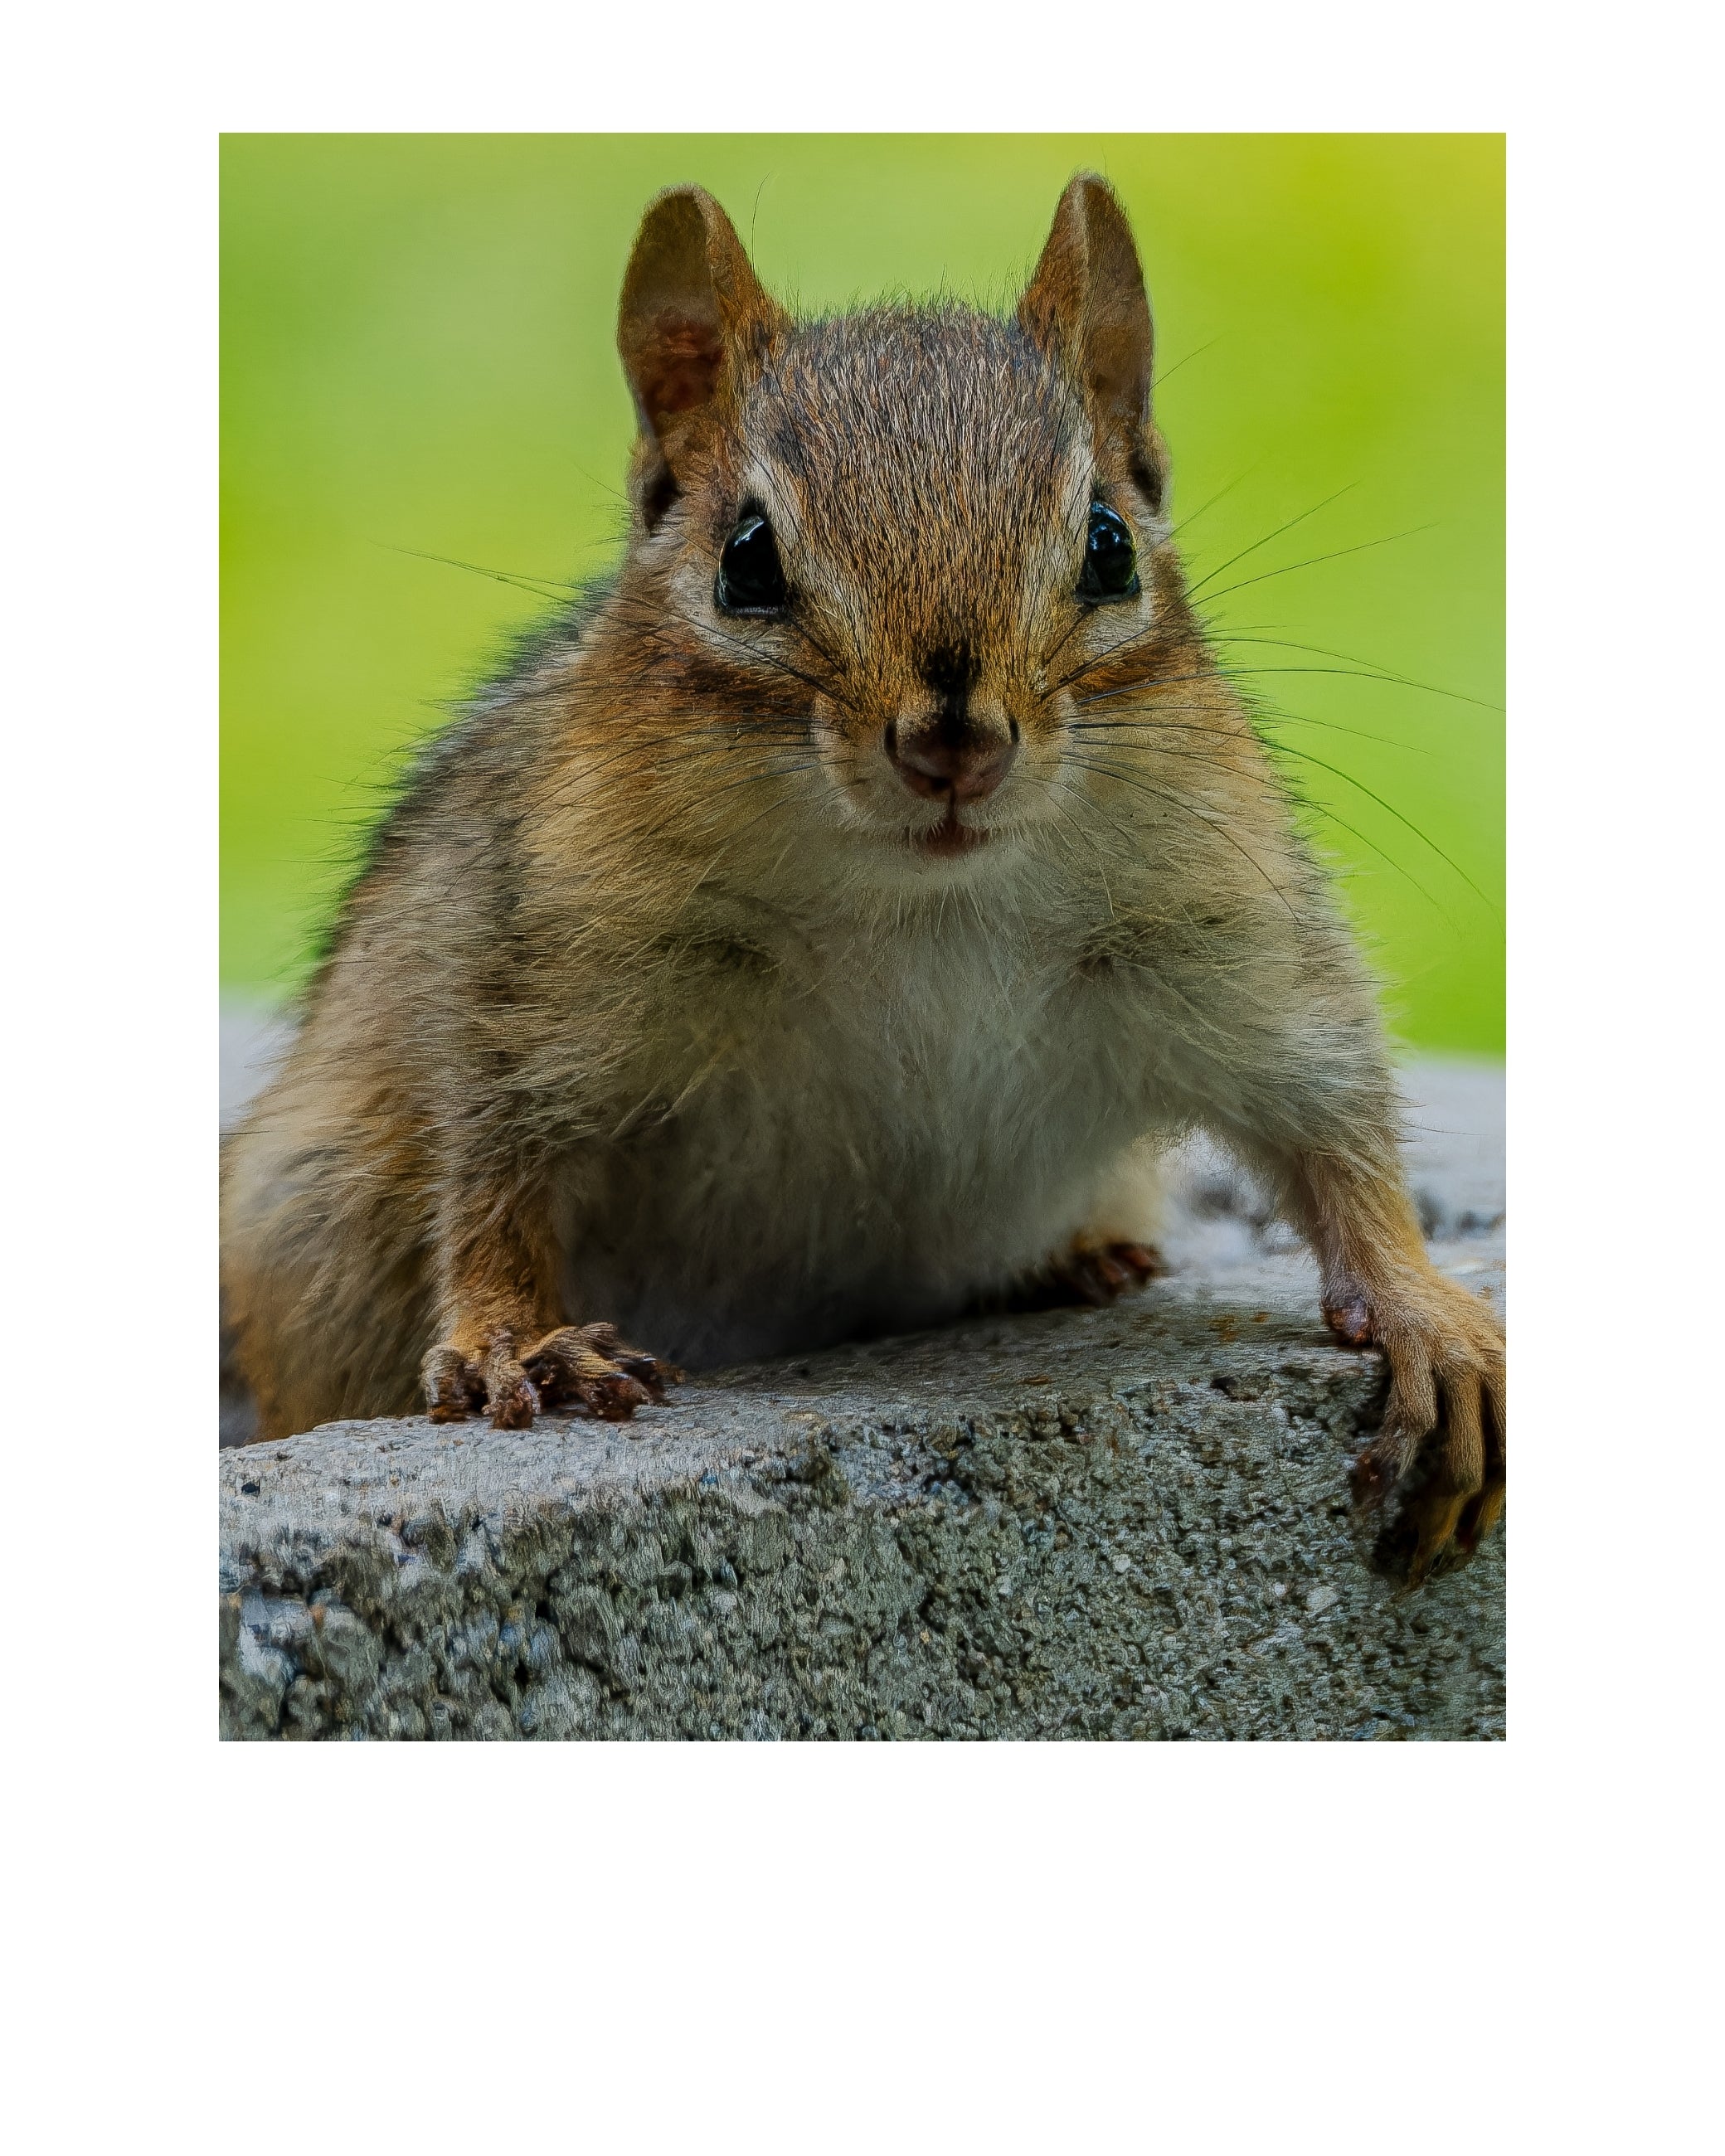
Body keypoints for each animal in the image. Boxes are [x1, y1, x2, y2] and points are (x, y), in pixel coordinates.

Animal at [220, 174, 1505, 1583]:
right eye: (746, 559)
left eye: (1110, 545)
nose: (954, 743)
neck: (921, 903)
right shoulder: (535, 965)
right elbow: (498, 1167)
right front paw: (513, 1336)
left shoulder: (1221, 932)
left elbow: (1327, 1121)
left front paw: (1424, 1313)